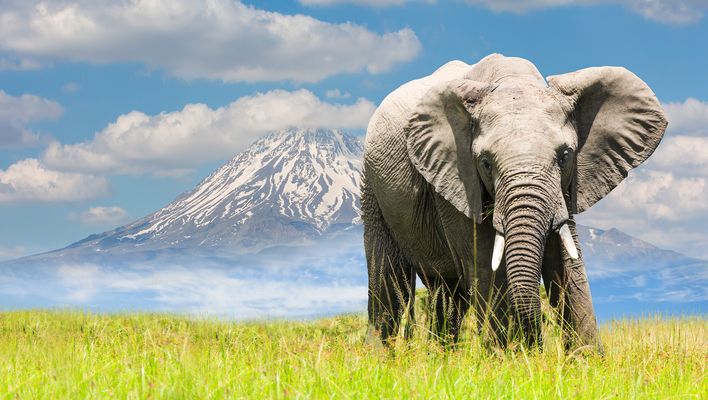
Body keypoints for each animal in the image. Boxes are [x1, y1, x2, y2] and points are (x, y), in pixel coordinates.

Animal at [361, 54, 667, 350]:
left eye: (565, 156)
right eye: (485, 163)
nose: (536, 345)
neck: (511, 80)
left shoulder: (566, 187)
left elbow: (565, 261)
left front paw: (586, 360)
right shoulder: (456, 178)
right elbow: (486, 264)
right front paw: (507, 358)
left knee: (447, 293)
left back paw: (443, 357)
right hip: (373, 185)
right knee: (390, 282)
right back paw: (381, 357)